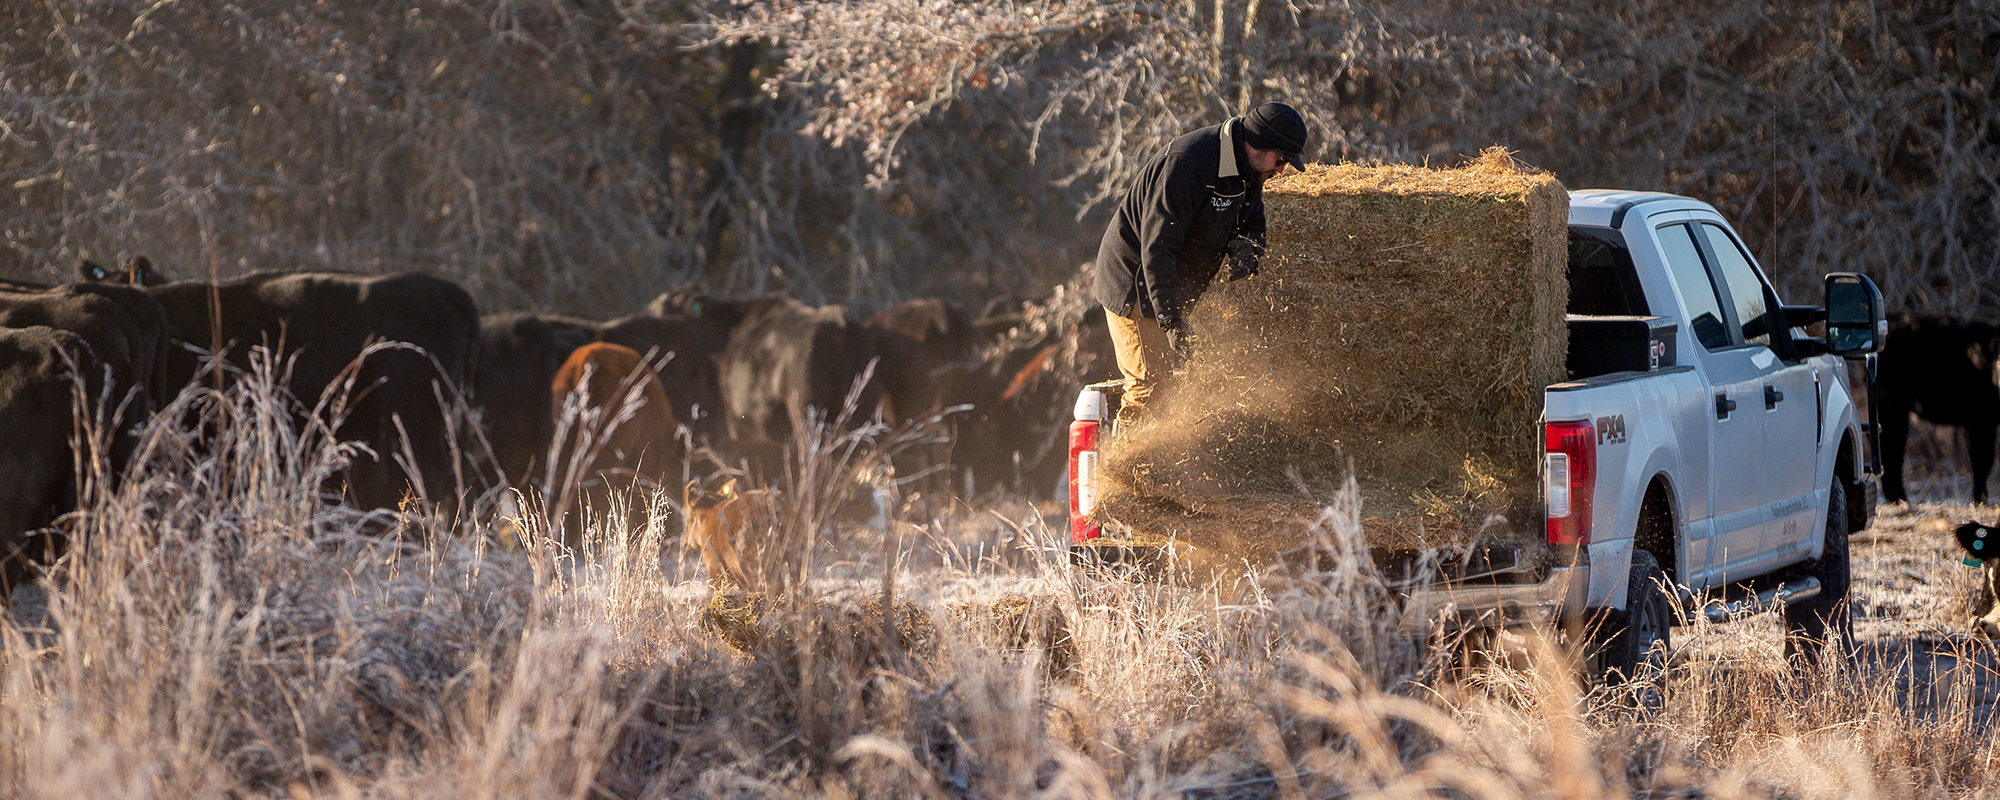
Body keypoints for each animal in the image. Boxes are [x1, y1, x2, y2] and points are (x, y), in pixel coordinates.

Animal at [1880, 314, 1992, 506]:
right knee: (1890, 453)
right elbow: (1982, 461)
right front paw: (1979, 500)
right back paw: (1899, 500)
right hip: (1893, 408)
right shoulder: (1982, 420)